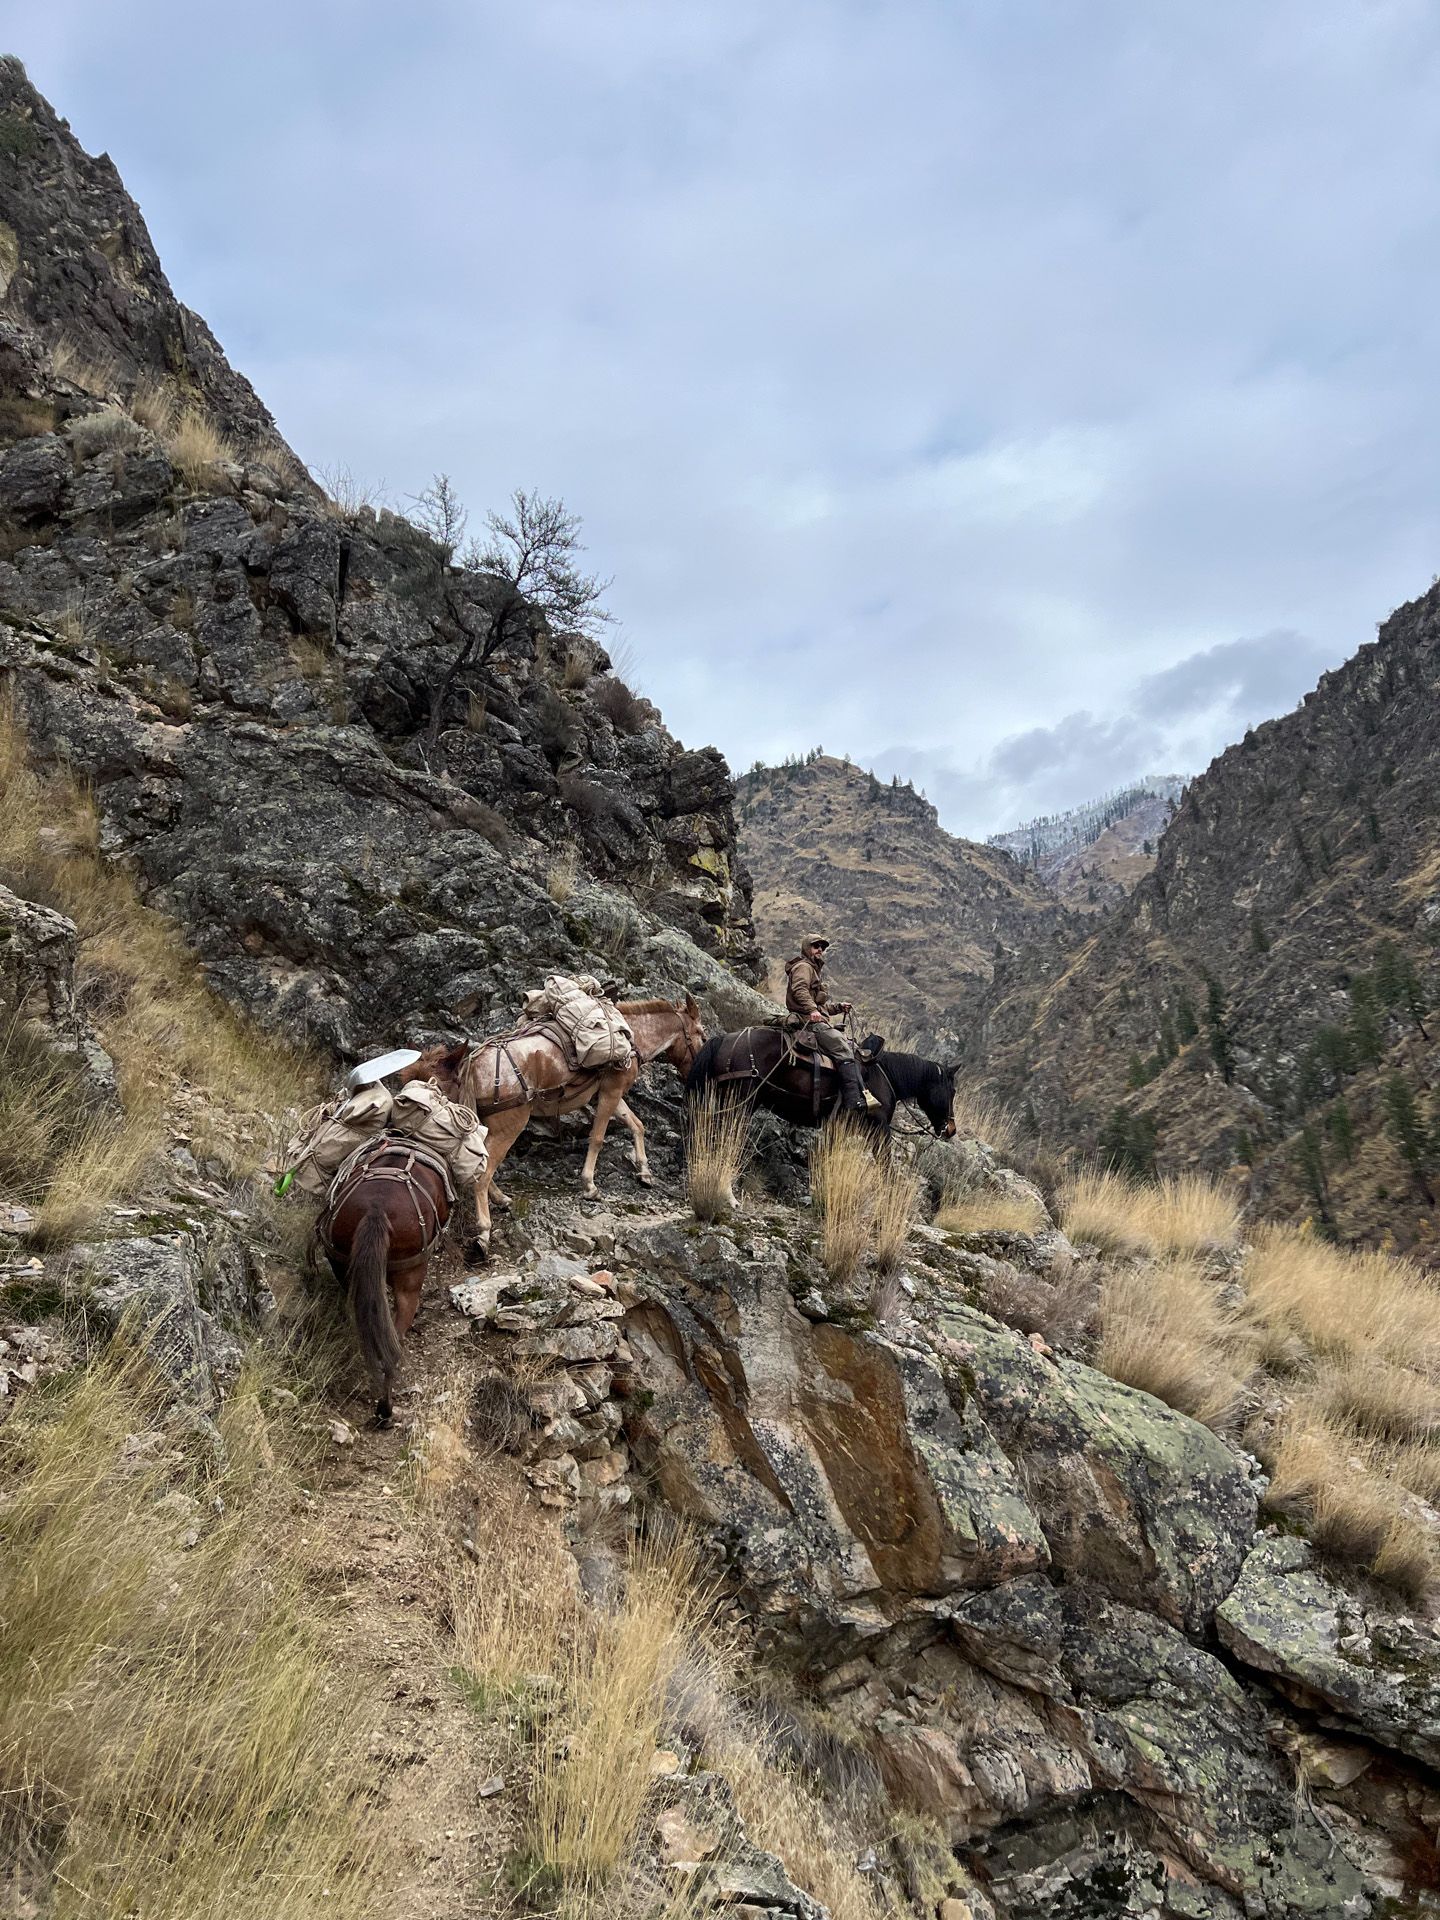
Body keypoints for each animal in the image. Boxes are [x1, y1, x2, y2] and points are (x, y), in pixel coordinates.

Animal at [403, 995, 705, 1256]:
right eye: (701, 1032)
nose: (695, 1071)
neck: (631, 1035)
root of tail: (474, 1062)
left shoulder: (611, 1093)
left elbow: (637, 1125)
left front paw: (644, 1172)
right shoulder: (611, 1091)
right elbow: (598, 1137)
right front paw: (589, 1185)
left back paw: (501, 1200)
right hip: (510, 1125)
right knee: (483, 1173)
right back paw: (484, 1233)